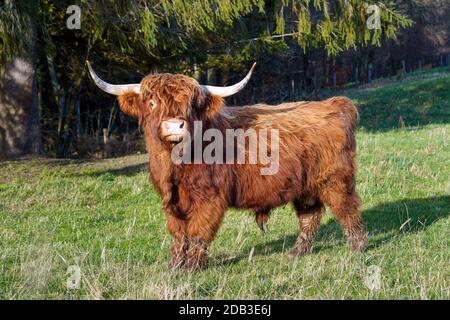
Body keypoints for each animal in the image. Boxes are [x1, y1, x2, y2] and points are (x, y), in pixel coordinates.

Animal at [87, 62, 366, 270]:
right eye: (152, 102)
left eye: (190, 105)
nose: (175, 125)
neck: (174, 166)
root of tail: (335, 103)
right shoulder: (172, 201)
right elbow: (178, 233)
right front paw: (175, 265)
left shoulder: (209, 198)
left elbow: (198, 231)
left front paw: (192, 267)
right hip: (306, 187)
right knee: (310, 215)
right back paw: (297, 251)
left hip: (335, 180)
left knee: (348, 209)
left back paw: (357, 247)